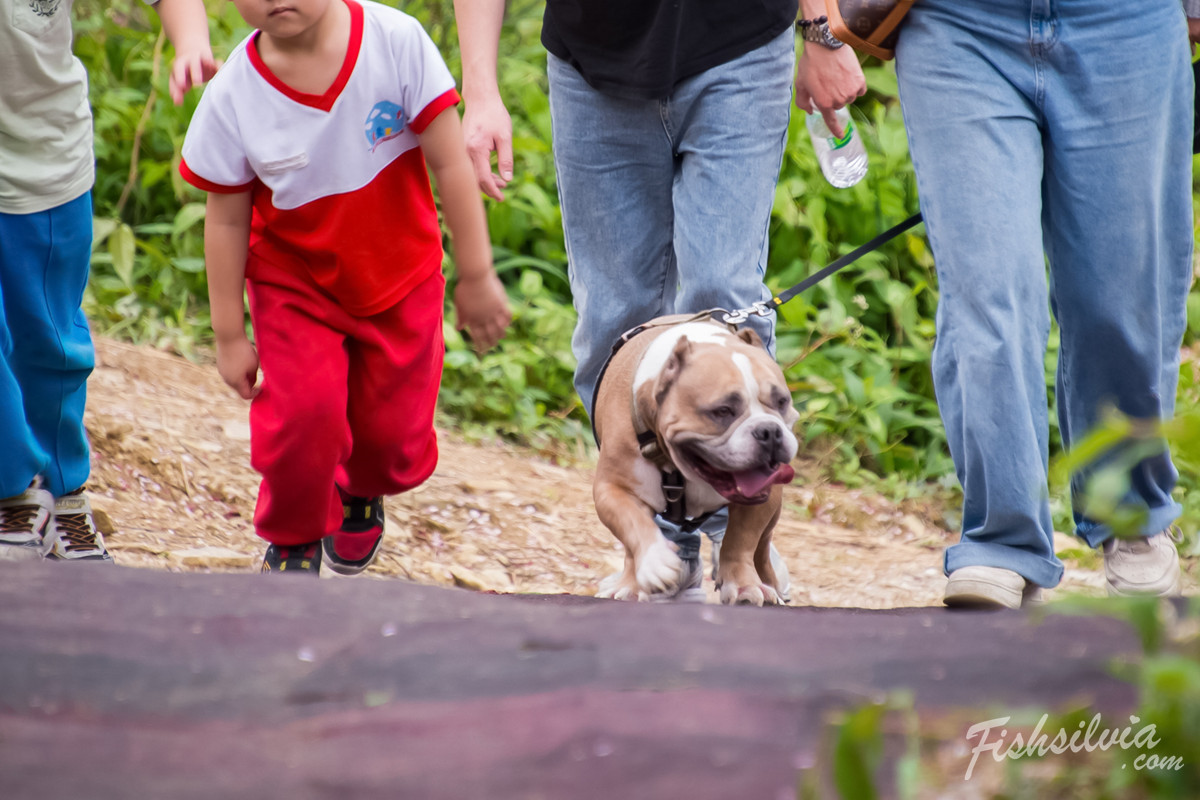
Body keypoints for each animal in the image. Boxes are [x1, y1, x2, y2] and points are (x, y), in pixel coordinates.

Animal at [590, 316, 796, 604]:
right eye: (722, 411)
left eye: (782, 401)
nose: (769, 431)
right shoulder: (613, 490)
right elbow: (634, 526)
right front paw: (655, 563)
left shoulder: (762, 501)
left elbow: (741, 541)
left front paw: (743, 585)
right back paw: (630, 585)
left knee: (762, 547)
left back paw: (770, 583)